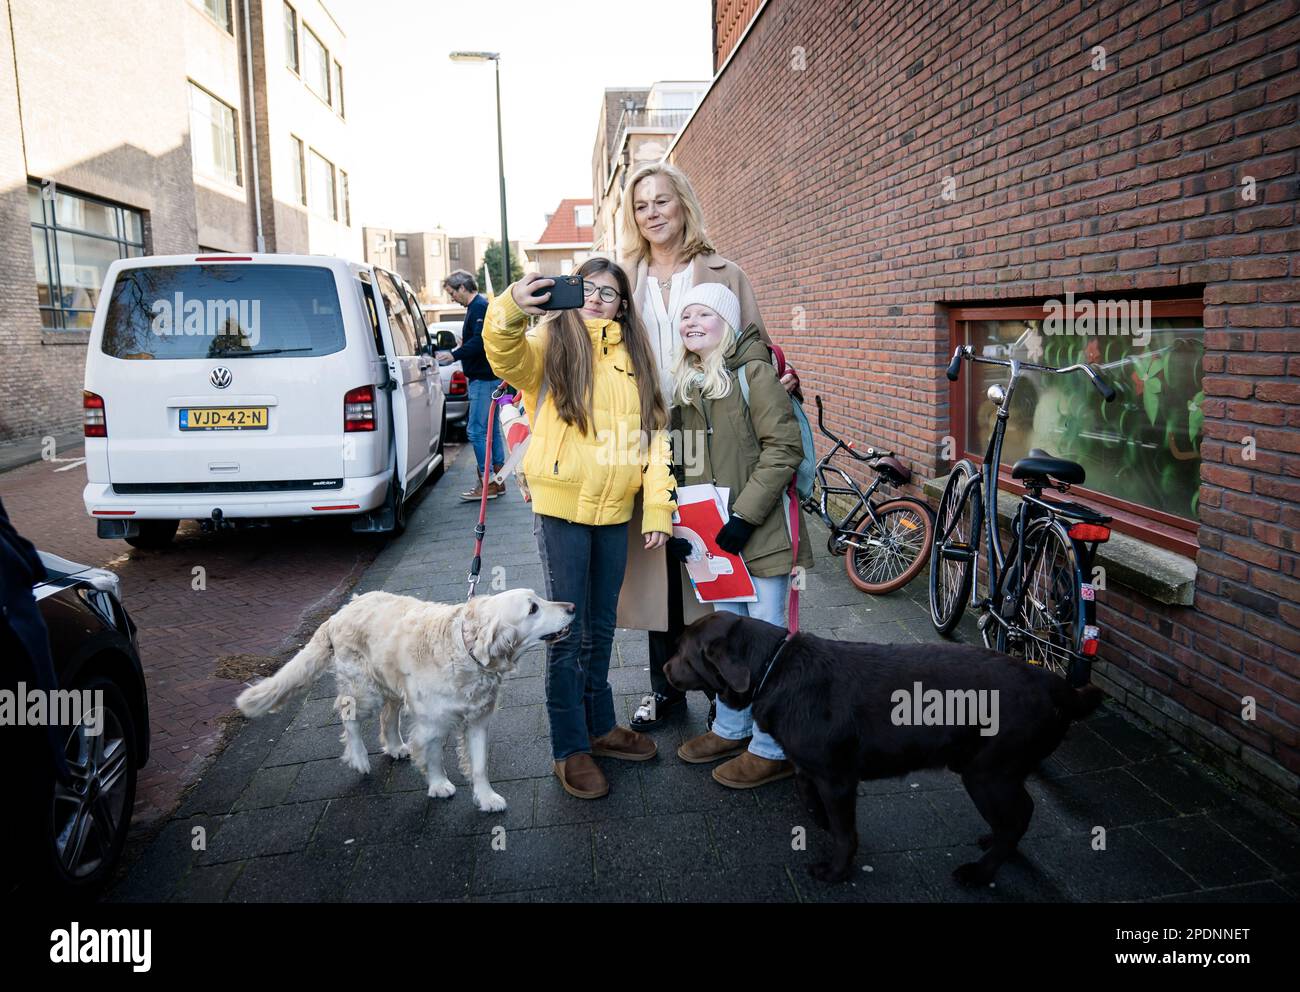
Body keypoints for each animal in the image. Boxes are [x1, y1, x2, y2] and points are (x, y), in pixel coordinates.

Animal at [236, 590, 572, 806]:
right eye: (533, 608)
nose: (571, 607)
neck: (465, 651)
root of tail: (338, 613)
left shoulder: (478, 720)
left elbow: (479, 764)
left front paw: (487, 798)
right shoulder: (431, 725)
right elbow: (433, 758)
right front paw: (439, 786)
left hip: (391, 685)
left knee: (388, 716)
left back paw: (396, 746)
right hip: (364, 689)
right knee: (349, 714)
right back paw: (358, 757)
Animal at [665, 613, 1102, 884]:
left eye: (683, 650)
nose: (666, 669)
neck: (774, 668)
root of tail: (1055, 684)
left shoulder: (838, 779)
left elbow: (845, 832)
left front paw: (836, 871)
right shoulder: (813, 768)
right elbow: (805, 791)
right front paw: (820, 820)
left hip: (988, 774)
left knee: (1018, 817)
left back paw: (980, 872)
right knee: (1017, 815)